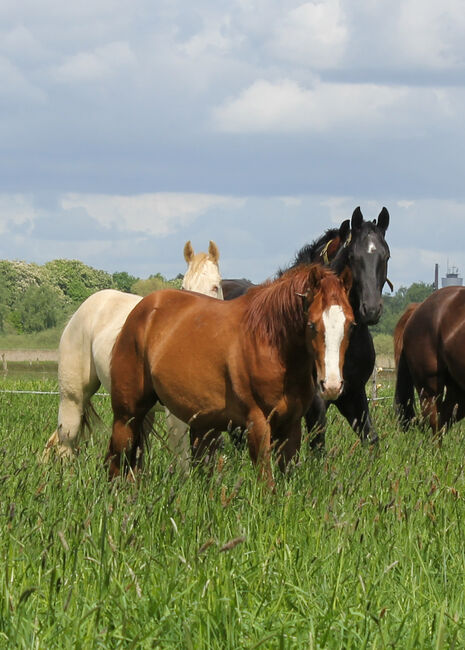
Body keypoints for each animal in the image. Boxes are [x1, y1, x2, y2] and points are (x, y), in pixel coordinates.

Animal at [44, 238, 223, 466]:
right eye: (184, 287)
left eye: (215, 286)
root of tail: (83, 309)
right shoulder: (176, 416)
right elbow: (182, 459)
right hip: (72, 398)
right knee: (67, 440)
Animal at [107, 262, 354, 480]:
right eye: (312, 325)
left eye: (350, 324)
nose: (332, 385)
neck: (269, 344)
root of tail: (142, 311)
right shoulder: (257, 425)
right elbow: (267, 482)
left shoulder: (290, 427)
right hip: (126, 416)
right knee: (116, 462)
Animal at [223, 206, 390, 446]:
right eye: (353, 257)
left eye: (385, 256)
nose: (372, 309)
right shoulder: (316, 403)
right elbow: (317, 443)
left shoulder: (354, 394)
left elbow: (371, 439)